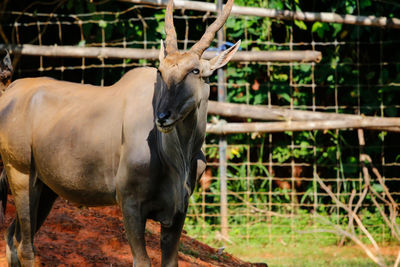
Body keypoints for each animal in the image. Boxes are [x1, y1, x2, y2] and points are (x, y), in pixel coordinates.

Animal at [0, 0, 239, 267]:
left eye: (195, 71)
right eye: (161, 71)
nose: (162, 116)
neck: (176, 158)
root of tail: (10, 91)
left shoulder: (178, 213)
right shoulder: (130, 204)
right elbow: (142, 261)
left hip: (46, 189)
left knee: (12, 236)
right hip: (21, 174)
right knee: (25, 246)